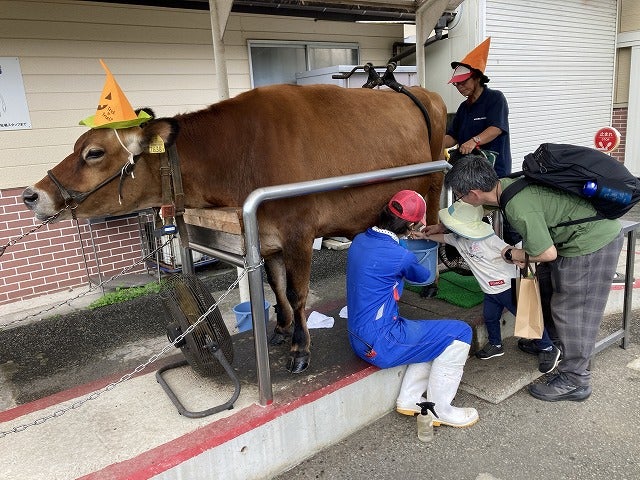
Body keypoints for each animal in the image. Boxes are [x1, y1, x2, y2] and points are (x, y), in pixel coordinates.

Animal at [23, 84, 444, 374]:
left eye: (93, 152)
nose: (31, 194)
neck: (237, 154)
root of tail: (426, 92)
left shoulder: (298, 231)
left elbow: (297, 292)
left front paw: (299, 350)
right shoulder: (266, 236)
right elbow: (276, 287)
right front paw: (280, 330)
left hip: (435, 185)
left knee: (435, 230)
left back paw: (433, 283)